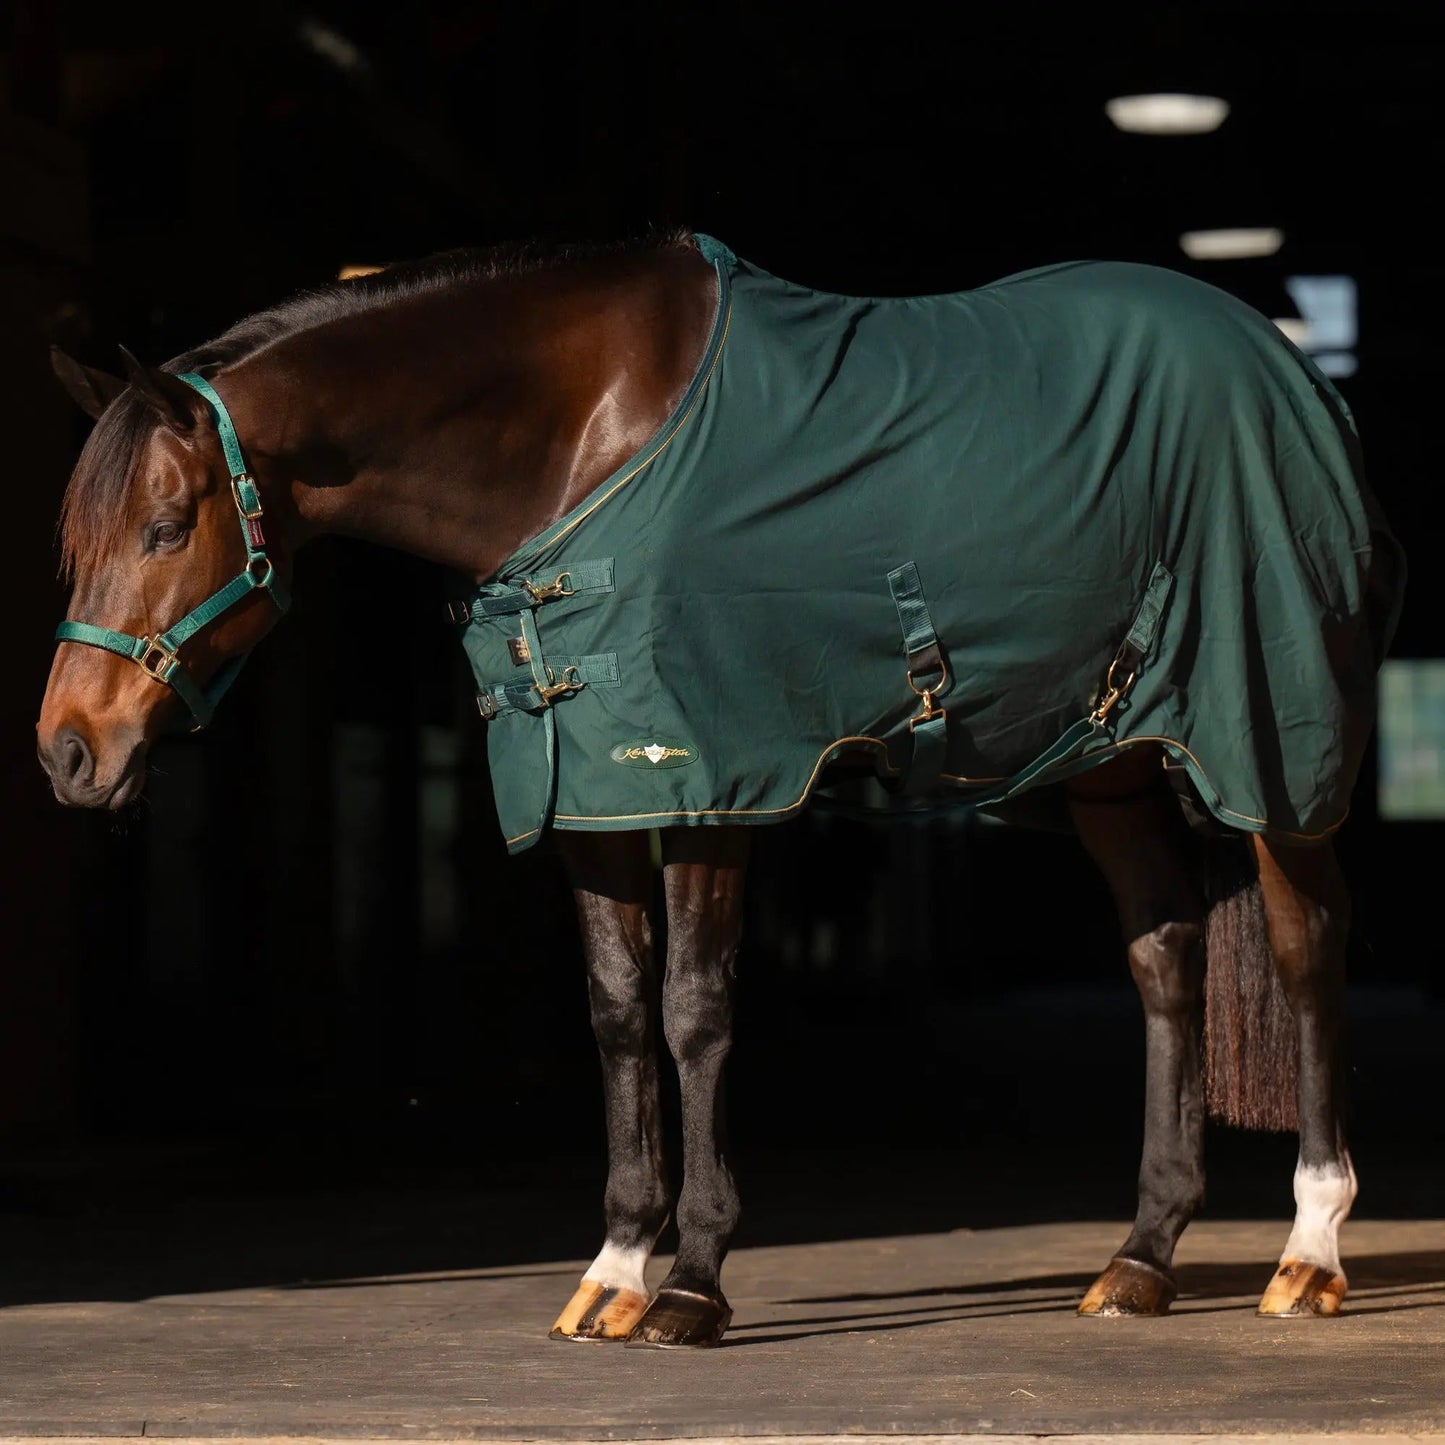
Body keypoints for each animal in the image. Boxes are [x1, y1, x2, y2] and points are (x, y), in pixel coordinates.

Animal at [38, 231, 1404, 1348]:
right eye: (75, 540)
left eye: (167, 523)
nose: (67, 752)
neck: (584, 437)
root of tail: (1284, 371)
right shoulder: (585, 793)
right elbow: (613, 1012)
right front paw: (612, 1268)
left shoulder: (710, 779)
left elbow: (691, 1010)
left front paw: (690, 1280)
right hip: (1111, 764)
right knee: (1164, 959)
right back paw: (1141, 1256)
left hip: (1262, 744)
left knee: (1305, 947)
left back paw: (1307, 1250)